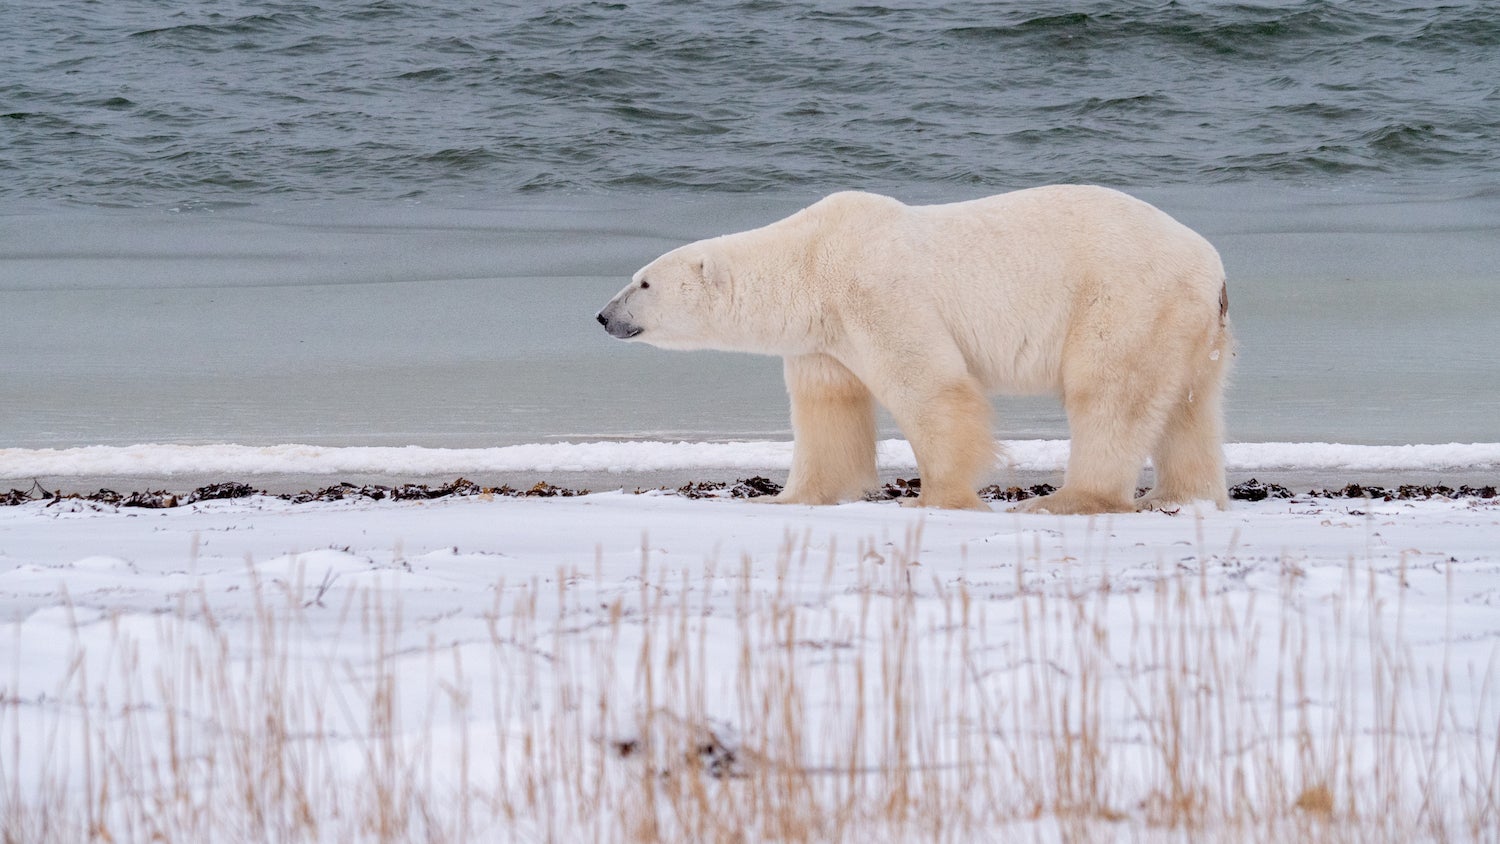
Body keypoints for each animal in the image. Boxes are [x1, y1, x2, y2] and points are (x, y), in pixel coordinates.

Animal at [596, 185, 1232, 514]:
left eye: (643, 283)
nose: (603, 316)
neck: (810, 259)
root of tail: (1213, 267)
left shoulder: (876, 291)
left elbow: (930, 386)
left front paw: (935, 498)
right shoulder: (822, 339)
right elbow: (827, 413)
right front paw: (788, 499)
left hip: (1125, 299)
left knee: (1110, 393)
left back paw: (1068, 499)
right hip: (1190, 327)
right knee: (1189, 408)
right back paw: (1184, 494)